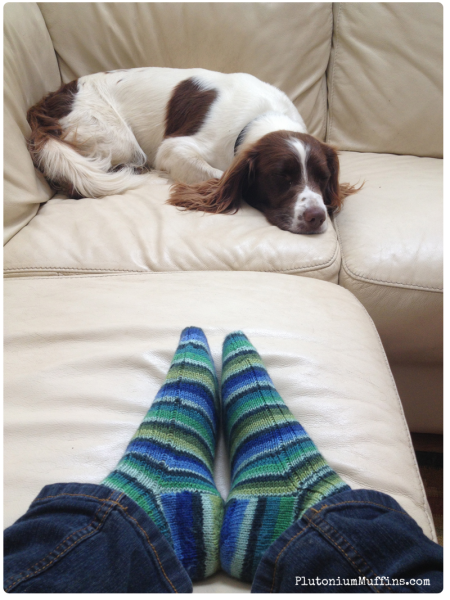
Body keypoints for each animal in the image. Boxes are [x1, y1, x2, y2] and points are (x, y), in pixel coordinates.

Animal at [26, 67, 360, 233]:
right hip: (119, 139)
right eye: (282, 178)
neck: (264, 116)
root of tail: (47, 102)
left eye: (323, 178)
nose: (317, 216)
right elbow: (217, 174)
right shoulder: (174, 148)